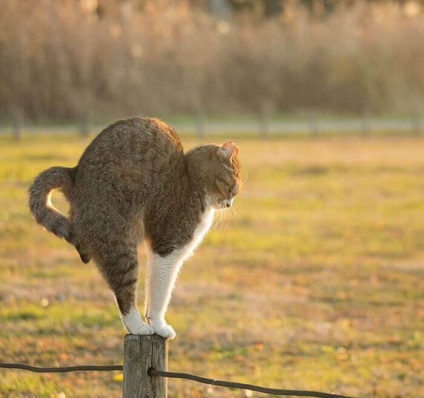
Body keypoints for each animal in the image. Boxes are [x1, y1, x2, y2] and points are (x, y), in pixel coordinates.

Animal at [29, 118, 242, 338]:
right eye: (233, 184)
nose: (230, 203)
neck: (191, 179)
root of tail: (74, 175)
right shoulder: (167, 247)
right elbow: (161, 291)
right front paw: (159, 326)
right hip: (118, 244)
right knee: (124, 296)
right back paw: (139, 327)